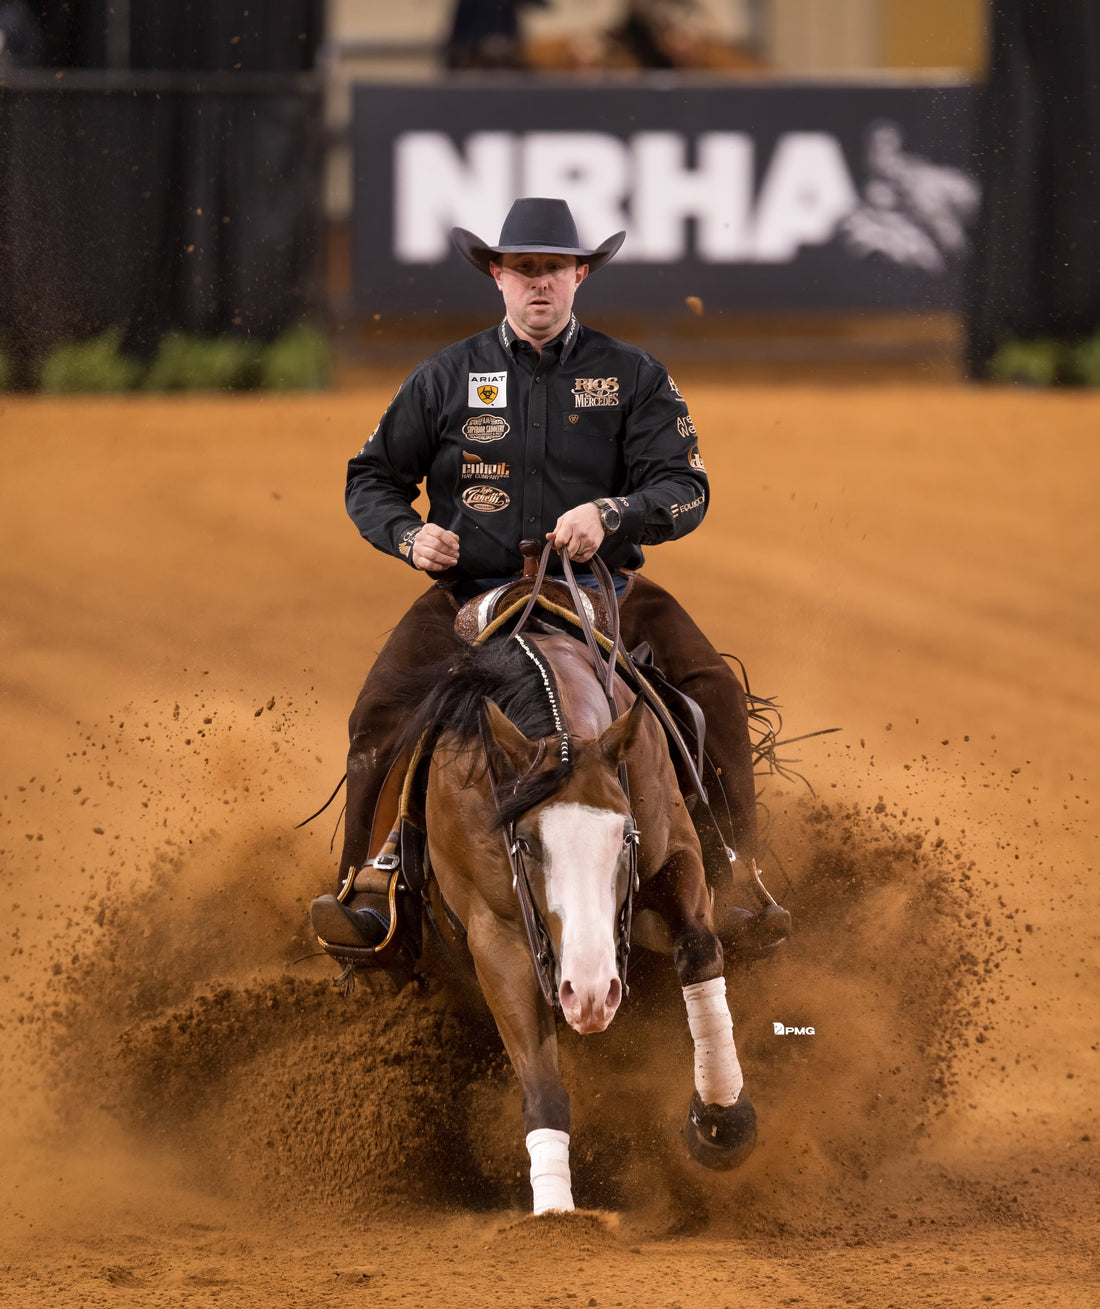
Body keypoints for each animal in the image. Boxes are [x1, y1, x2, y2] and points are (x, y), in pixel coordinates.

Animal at [399, 607, 758, 1215]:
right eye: (525, 844)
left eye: (626, 836)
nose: (591, 994)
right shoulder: (495, 935)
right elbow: (542, 1084)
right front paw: (556, 1214)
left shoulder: (676, 855)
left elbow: (698, 950)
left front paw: (722, 1121)